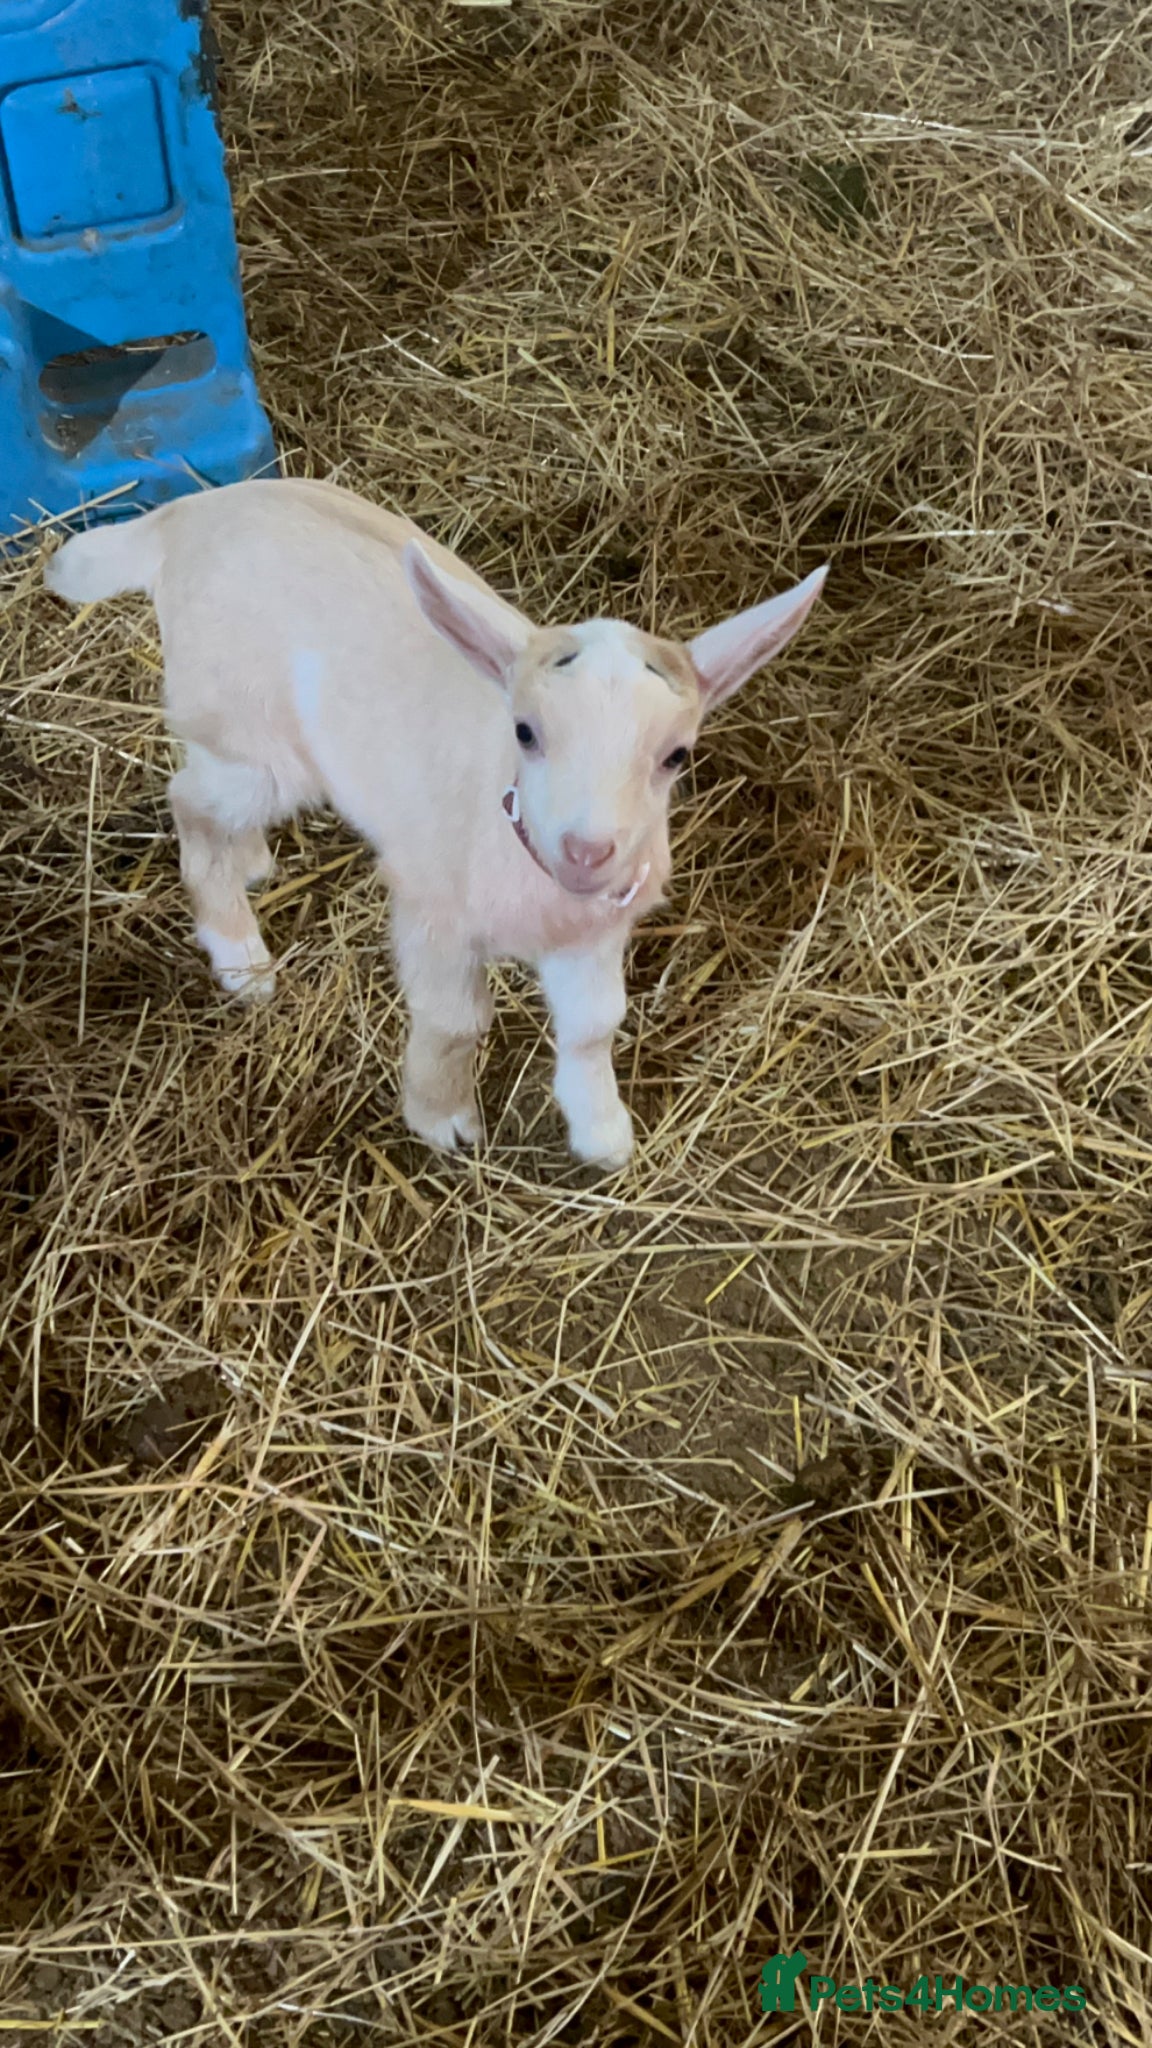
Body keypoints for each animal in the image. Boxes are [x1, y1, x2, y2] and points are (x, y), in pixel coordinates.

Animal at [46, 480, 826, 1168]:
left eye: (676, 755)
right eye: (525, 732)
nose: (587, 850)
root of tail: (182, 517)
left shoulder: (596, 934)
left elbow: (594, 1026)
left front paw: (603, 1133)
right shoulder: (433, 914)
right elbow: (455, 1021)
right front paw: (441, 1119)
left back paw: (254, 863)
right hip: (252, 738)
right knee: (189, 799)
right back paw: (239, 955)